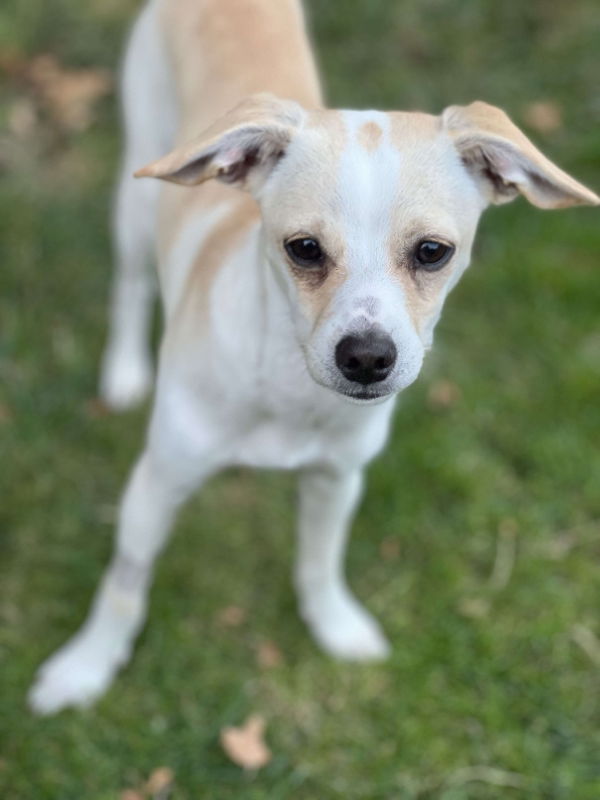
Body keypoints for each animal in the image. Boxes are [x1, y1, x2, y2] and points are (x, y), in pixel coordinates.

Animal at [29, 0, 600, 712]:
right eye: (303, 248)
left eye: (433, 252)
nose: (367, 358)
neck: (287, 390)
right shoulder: (157, 483)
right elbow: (124, 585)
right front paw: (85, 667)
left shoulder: (337, 479)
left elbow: (319, 562)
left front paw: (335, 626)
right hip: (137, 195)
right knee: (130, 284)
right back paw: (126, 372)